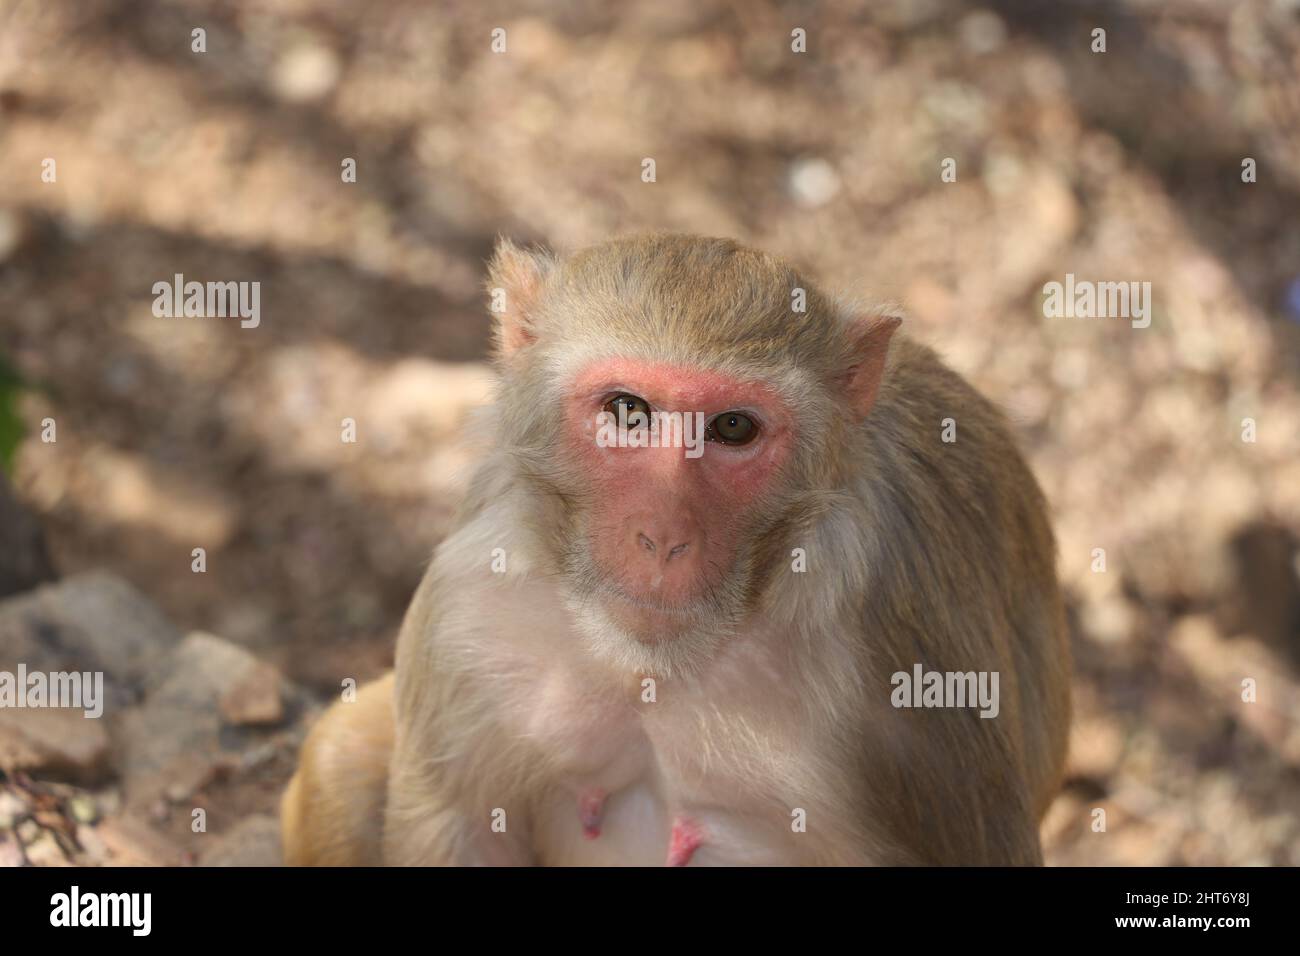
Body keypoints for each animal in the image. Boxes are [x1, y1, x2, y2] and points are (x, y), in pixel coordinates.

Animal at [282, 234, 1066, 868]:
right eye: (628, 411)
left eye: (731, 428)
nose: (663, 536)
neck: (654, 668)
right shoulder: (469, 612)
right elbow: (457, 820)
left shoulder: (907, 678)